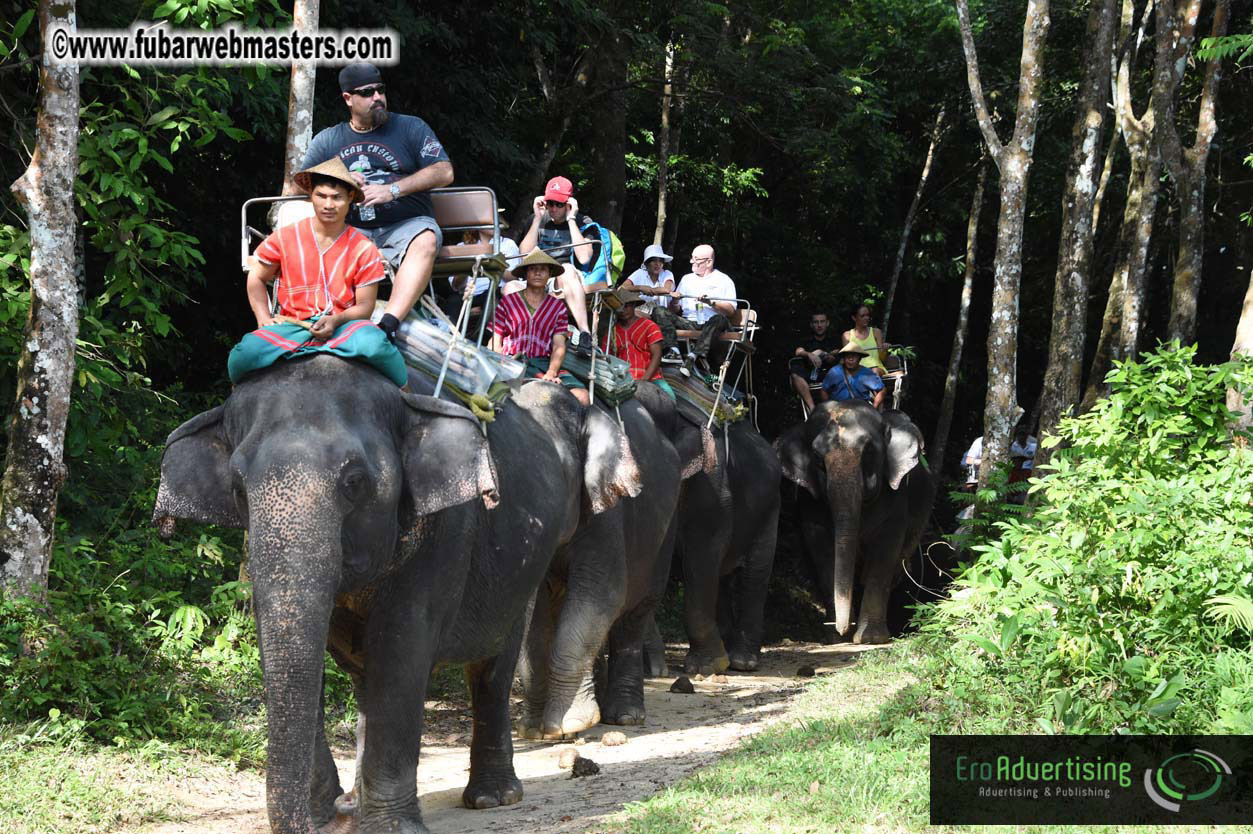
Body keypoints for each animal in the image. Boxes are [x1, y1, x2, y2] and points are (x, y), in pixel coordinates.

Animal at [152, 355, 640, 834]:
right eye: (237, 489)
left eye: (354, 482)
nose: (335, 813)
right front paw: (334, 814)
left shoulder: (444, 530)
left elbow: (400, 651)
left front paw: (390, 827)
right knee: (366, 677)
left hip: (519, 569)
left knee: (491, 667)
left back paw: (492, 797)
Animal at [774, 400, 936, 645]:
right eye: (817, 457)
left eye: (868, 451)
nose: (843, 629)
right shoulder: (809, 501)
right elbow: (822, 550)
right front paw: (835, 638)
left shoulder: (896, 497)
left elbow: (884, 550)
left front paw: (870, 639)